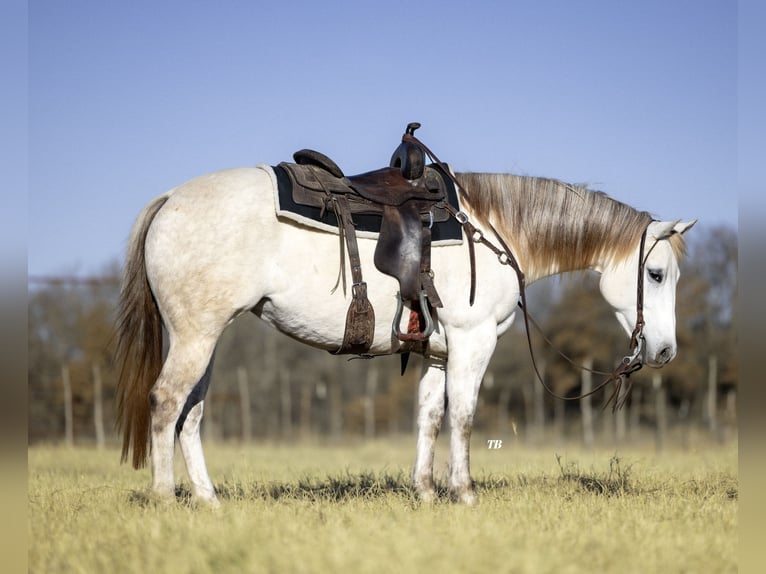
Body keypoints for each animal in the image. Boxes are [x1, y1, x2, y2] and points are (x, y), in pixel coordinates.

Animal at [114, 164, 696, 506]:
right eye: (655, 275)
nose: (665, 351)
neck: (493, 229)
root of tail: (170, 198)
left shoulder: (437, 352)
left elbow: (430, 416)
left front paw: (425, 492)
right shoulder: (473, 342)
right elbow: (463, 417)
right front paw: (464, 493)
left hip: (204, 339)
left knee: (191, 413)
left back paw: (208, 500)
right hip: (196, 337)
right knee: (165, 403)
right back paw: (164, 497)